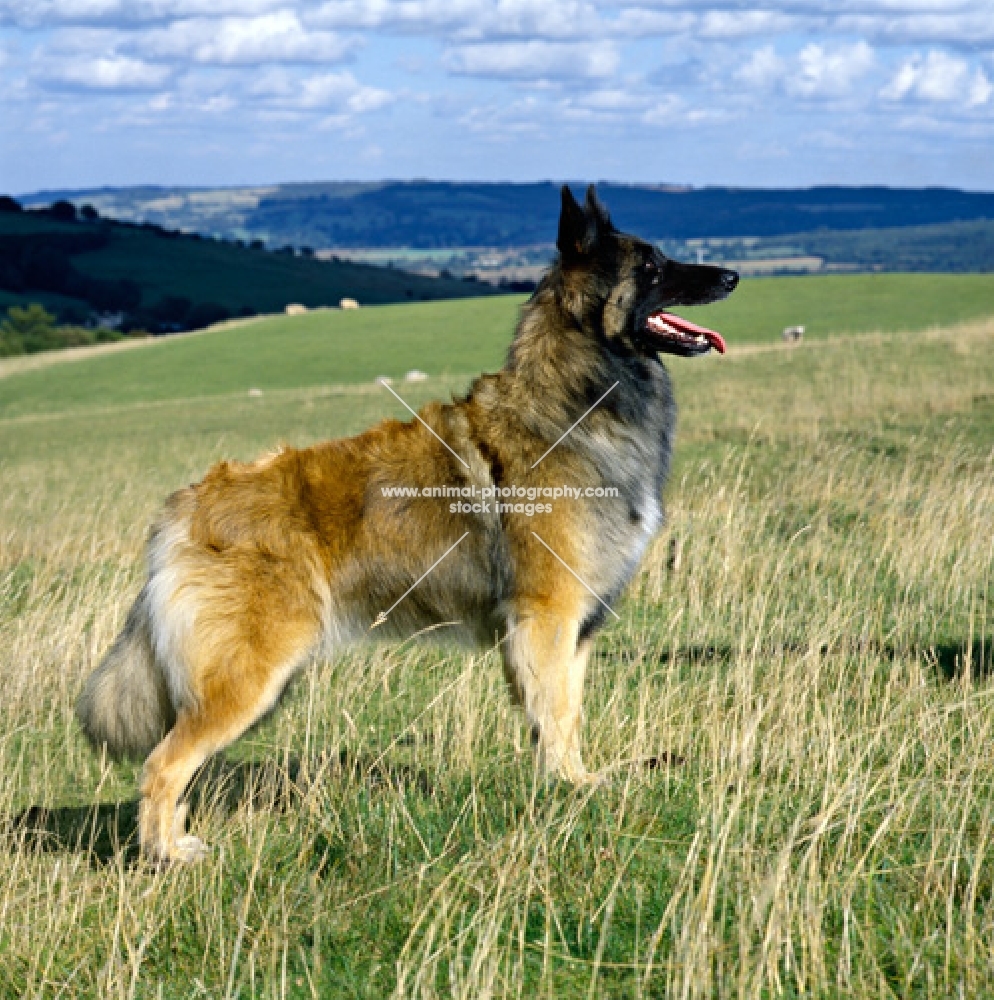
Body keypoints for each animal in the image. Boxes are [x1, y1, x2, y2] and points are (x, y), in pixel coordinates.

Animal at [77, 186, 736, 860]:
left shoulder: (573, 627)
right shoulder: (546, 616)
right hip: (248, 675)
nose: (733, 276)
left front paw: (575, 784)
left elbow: (568, 715)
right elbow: (554, 713)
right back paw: (168, 856)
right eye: (652, 266)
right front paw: (569, 793)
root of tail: (185, 507)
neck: (575, 401)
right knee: (162, 764)